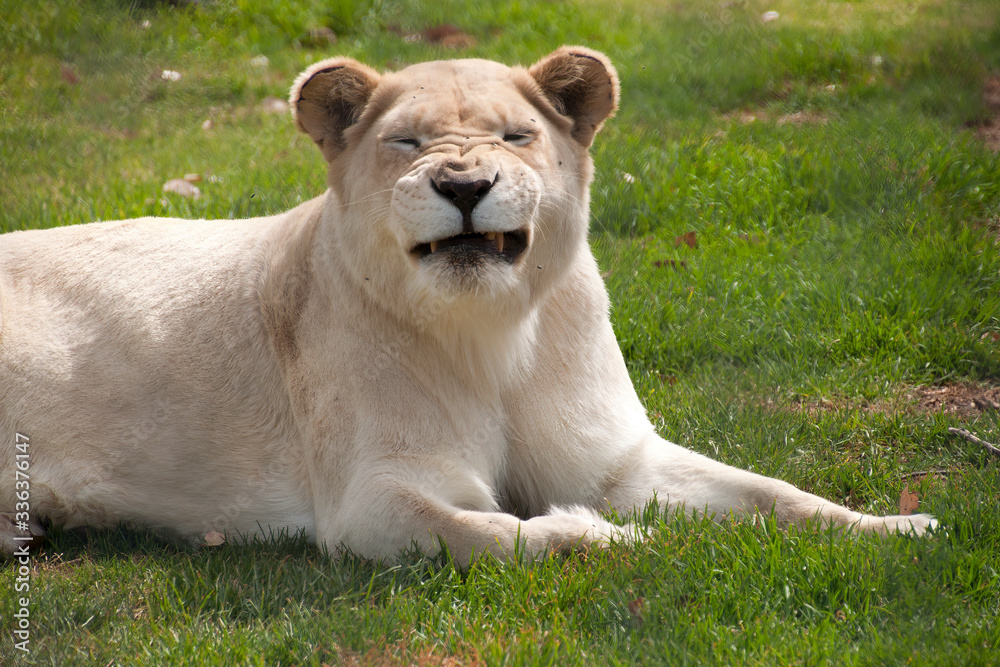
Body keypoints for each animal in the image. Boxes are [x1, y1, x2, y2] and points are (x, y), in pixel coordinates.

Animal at [0, 47, 934, 564]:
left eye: (515, 136)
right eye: (407, 141)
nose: (462, 185)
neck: (496, 337)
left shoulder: (618, 462)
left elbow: (778, 494)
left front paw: (902, 526)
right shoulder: (373, 499)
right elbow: (500, 533)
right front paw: (609, 538)